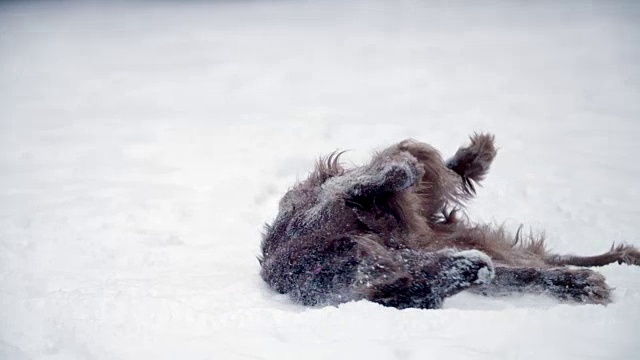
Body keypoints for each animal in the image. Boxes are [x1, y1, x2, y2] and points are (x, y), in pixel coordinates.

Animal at [258, 135, 636, 310]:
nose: (481, 270)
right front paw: (577, 283)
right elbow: (524, 275)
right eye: (432, 290)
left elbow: (376, 178)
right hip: (451, 234)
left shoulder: (324, 205)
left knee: (425, 167)